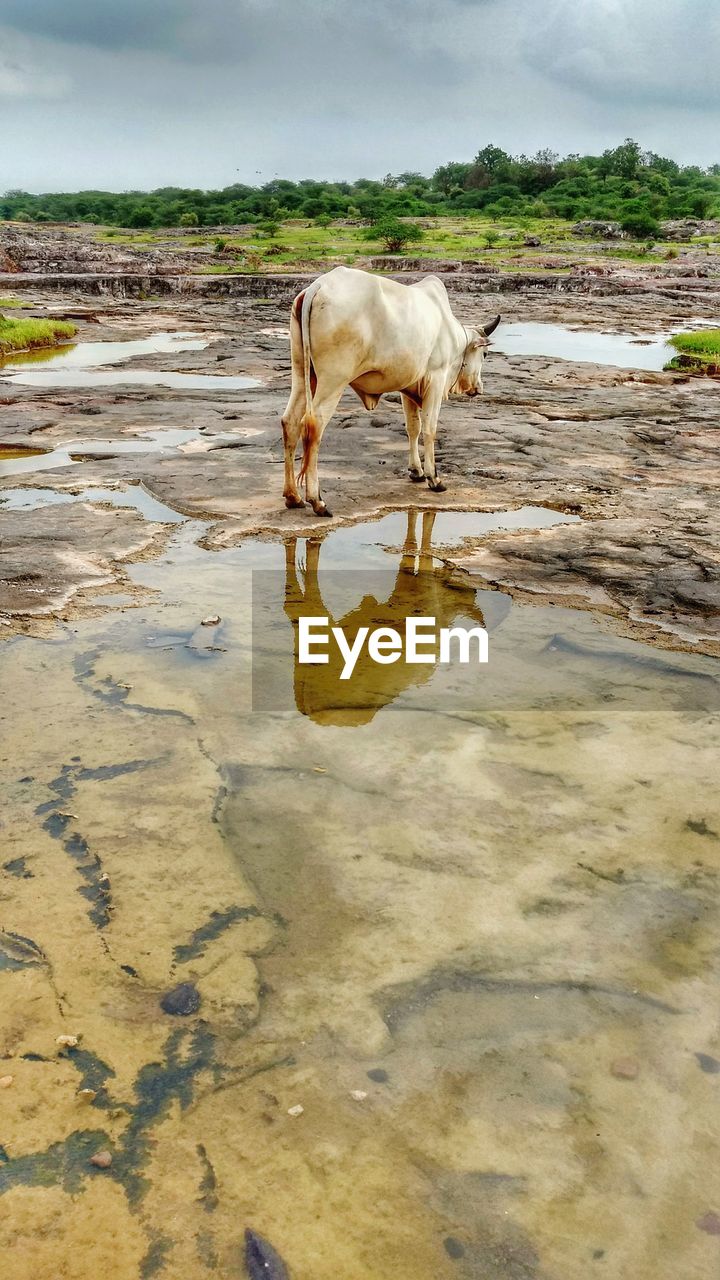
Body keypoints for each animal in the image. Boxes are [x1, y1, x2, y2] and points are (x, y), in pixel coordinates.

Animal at [281, 264, 499, 514]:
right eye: (485, 354)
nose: (479, 388)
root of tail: (319, 285)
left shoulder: (410, 387)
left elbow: (413, 428)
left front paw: (416, 471)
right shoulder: (436, 379)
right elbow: (430, 429)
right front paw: (434, 478)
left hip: (302, 373)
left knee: (290, 422)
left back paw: (293, 496)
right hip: (333, 379)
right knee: (313, 425)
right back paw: (317, 500)